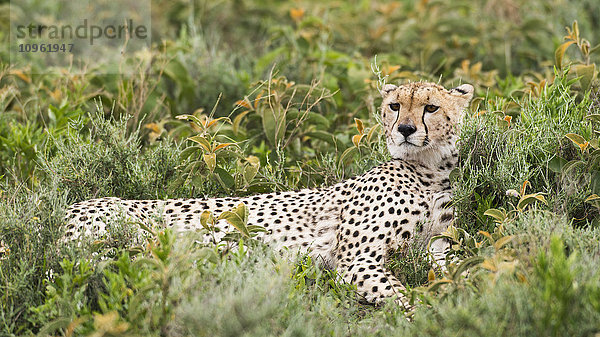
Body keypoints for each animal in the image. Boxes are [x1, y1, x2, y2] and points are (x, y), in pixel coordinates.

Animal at [64, 80, 474, 304]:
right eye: (394, 106)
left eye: (431, 108)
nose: (404, 129)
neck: (428, 170)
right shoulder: (358, 260)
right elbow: (407, 299)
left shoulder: (439, 249)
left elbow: (465, 273)